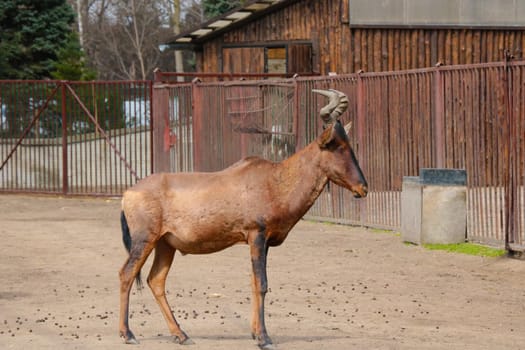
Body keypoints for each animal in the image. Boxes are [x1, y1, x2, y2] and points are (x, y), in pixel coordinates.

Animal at [117, 89, 368, 348]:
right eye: (336, 145)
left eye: (349, 144)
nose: (363, 188)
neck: (273, 179)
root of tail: (129, 193)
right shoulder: (256, 235)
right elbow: (262, 283)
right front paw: (264, 338)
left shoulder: (262, 242)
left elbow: (253, 282)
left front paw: (255, 333)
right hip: (144, 241)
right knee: (126, 274)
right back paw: (128, 334)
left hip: (165, 245)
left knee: (155, 280)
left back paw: (181, 334)